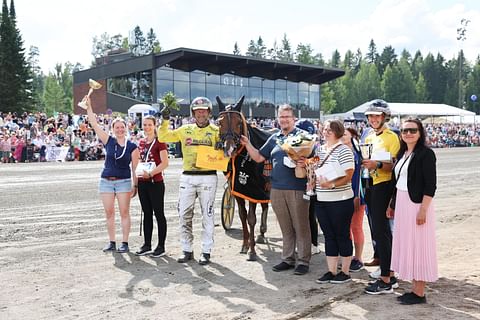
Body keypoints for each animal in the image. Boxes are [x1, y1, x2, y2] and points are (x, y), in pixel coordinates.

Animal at [217, 96, 274, 262]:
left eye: (238, 122)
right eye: (220, 122)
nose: (229, 148)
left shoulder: (253, 189)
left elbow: (251, 218)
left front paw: (252, 251)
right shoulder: (237, 190)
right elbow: (242, 216)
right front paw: (245, 245)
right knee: (265, 205)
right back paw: (261, 233)